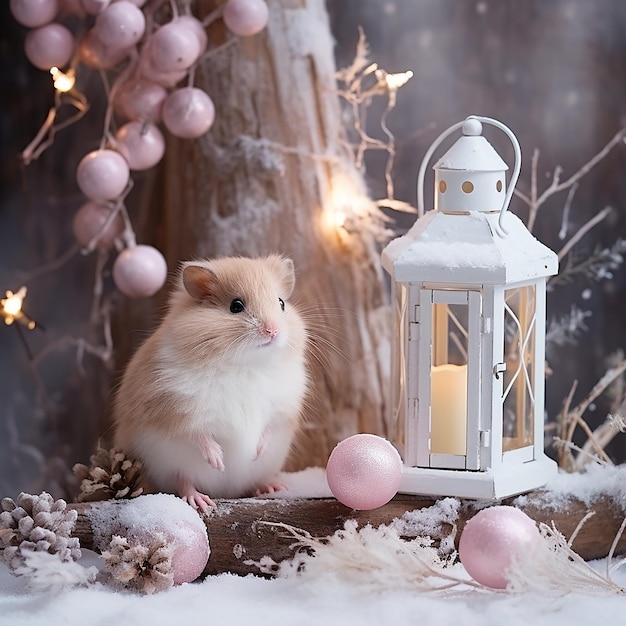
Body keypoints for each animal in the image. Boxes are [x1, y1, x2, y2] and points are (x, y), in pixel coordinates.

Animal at [113, 252, 308, 508]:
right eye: (236, 306)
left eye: (281, 303)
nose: (273, 331)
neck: (244, 363)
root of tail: (225, 492)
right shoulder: (178, 408)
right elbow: (198, 433)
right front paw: (218, 461)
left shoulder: (282, 408)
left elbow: (268, 428)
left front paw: (255, 452)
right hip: (165, 465)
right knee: (181, 481)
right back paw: (200, 501)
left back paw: (272, 487)